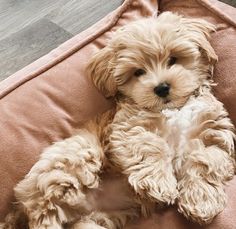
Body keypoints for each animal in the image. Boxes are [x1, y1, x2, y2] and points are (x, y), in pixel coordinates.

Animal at [1, 11, 234, 228]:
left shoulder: (212, 132)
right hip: (72, 159)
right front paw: (160, 184)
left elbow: (204, 161)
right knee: (43, 214)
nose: (161, 88)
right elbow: (151, 146)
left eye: (173, 59)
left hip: (94, 219)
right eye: (138, 72)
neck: (172, 109)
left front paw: (202, 201)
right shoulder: (129, 127)